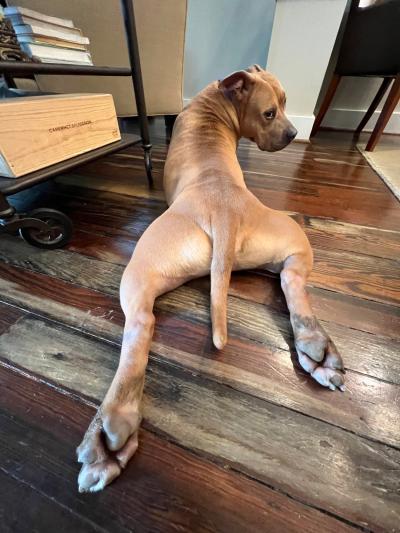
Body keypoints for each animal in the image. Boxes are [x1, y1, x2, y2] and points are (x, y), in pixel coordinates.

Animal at [76, 65, 346, 490]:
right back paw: (315, 346)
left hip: (140, 266)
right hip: (292, 239)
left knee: (139, 326)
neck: (213, 106)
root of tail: (225, 210)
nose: (293, 134)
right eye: (272, 111)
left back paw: (109, 431)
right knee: (293, 281)